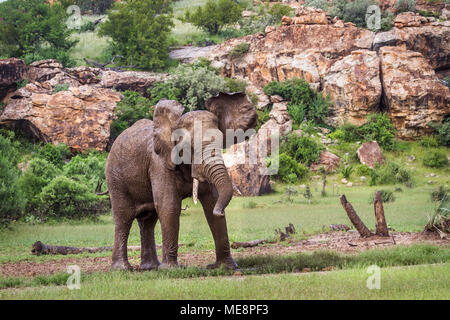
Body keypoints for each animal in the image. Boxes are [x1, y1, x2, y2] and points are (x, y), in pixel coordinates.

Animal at [106, 92, 258, 270]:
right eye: (189, 147)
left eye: (221, 142)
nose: (220, 212)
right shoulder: (159, 164)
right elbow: (168, 205)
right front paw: (170, 270)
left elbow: (211, 202)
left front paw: (225, 267)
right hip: (115, 178)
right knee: (124, 218)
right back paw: (122, 269)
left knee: (148, 220)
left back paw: (150, 268)